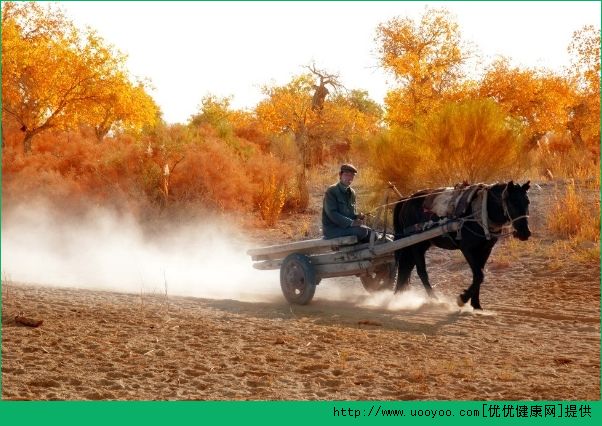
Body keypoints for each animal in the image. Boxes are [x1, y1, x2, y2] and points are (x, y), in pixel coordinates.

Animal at [394, 180, 528, 310]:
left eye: (527, 202)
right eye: (512, 203)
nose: (525, 233)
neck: (481, 210)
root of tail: (407, 199)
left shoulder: (485, 250)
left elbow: (478, 276)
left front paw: (476, 305)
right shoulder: (467, 249)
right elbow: (479, 275)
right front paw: (462, 299)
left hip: (420, 245)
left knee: (406, 268)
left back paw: (398, 296)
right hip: (416, 245)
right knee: (420, 271)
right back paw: (434, 299)